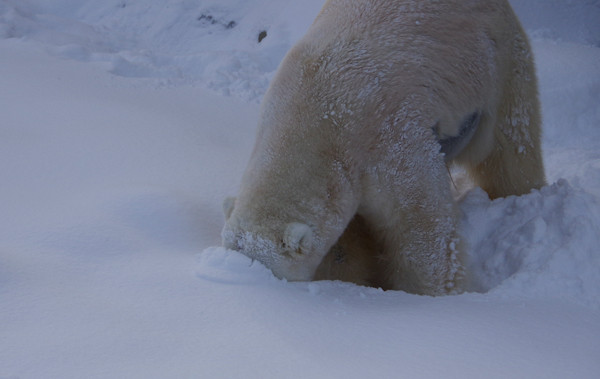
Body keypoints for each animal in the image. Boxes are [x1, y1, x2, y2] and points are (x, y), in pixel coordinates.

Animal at [220, 0, 544, 296]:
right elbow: (349, 240)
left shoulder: (387, 136)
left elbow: (420, 225)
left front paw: (426, 294)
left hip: (499, 62)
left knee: (509, 146)